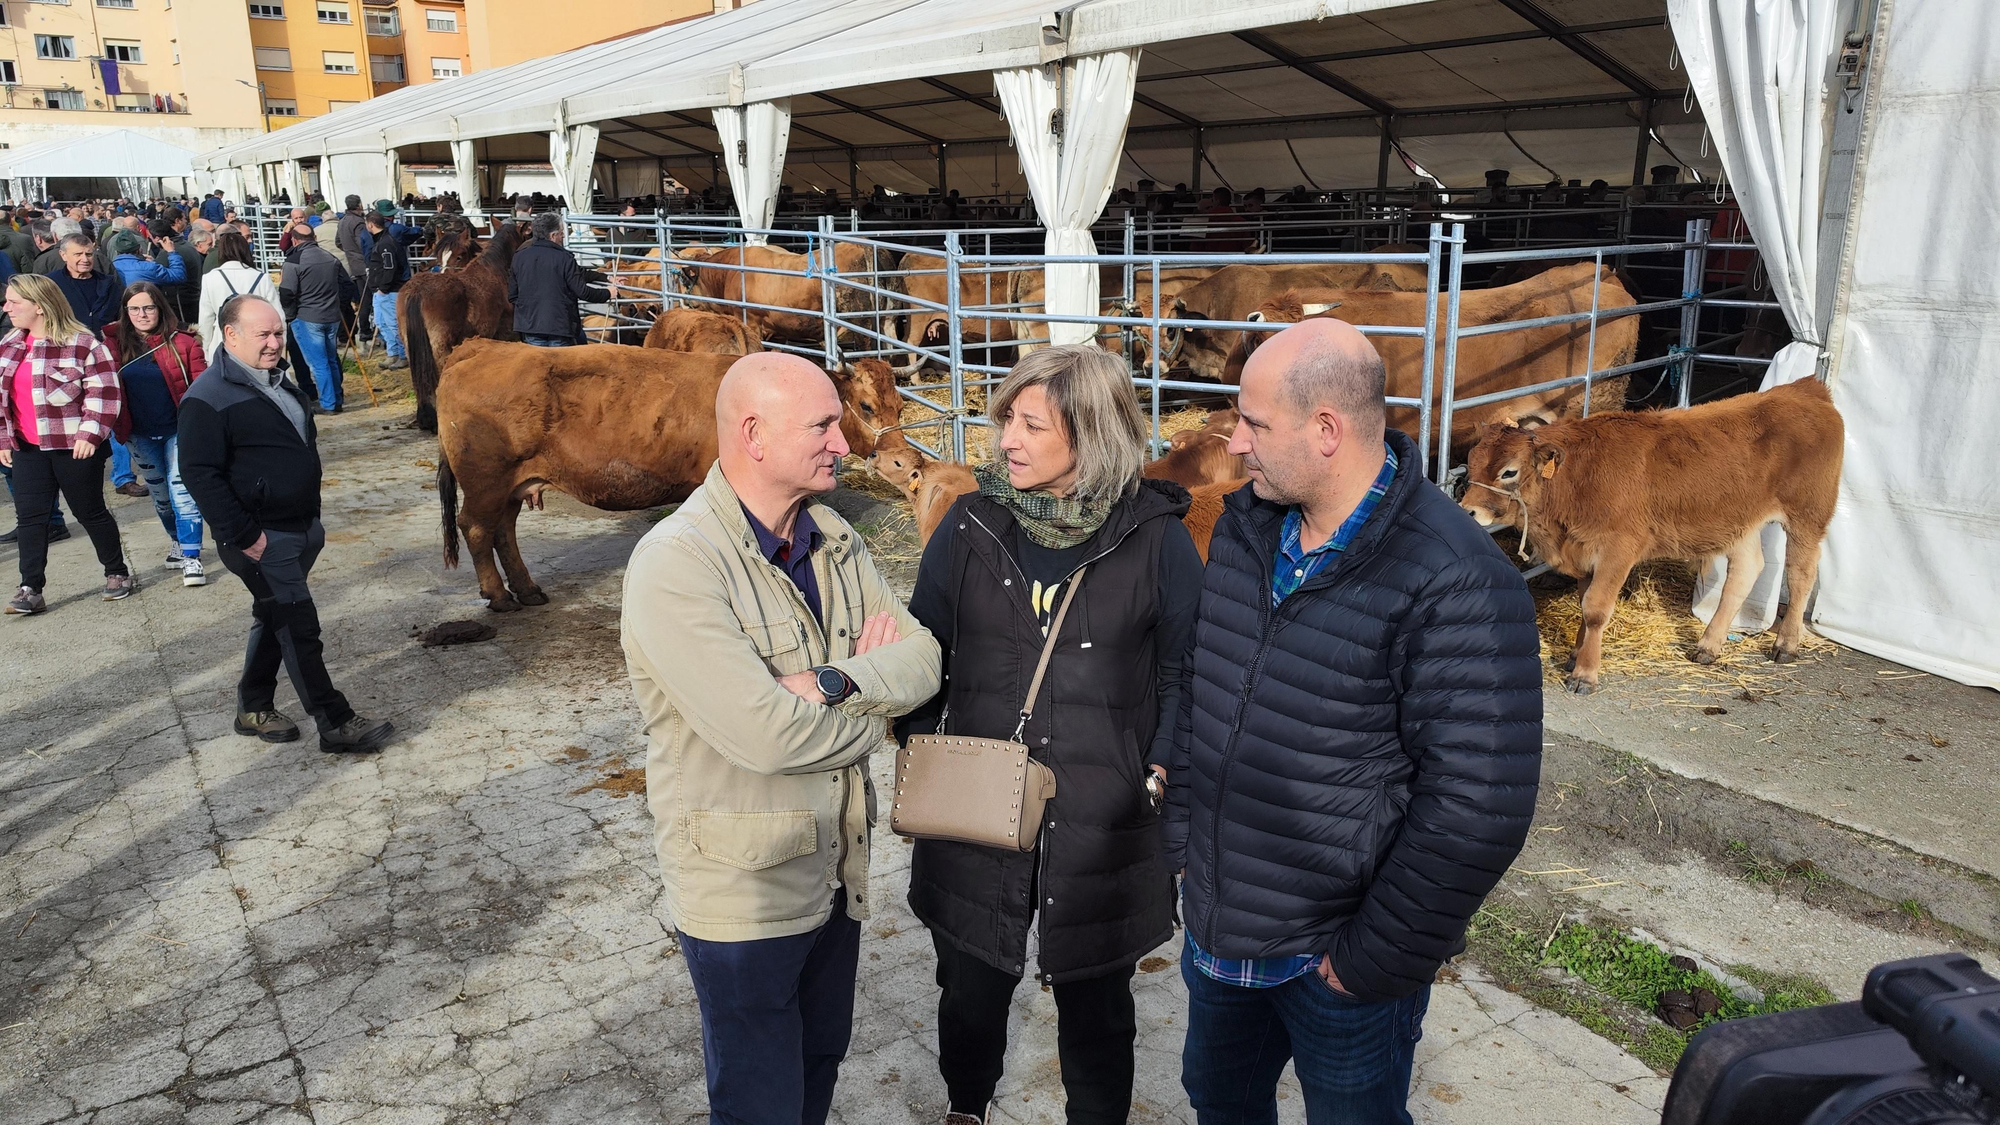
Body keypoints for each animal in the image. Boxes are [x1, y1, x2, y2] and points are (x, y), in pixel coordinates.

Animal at [446, 342, 908, 608]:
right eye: (865, 406)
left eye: (901, 407)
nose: (900, 460)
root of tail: (480, 349)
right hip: (486, 483)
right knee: (476, 528)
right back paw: (498, 595)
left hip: (510, 486)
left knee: (503, 531)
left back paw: (526, 590)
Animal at [1456, 378, 1840, 692]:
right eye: (1471, 463)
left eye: (1509, 472)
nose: (1468, 511)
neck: (1578, 477)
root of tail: (1804, 390)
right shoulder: (1585, 551)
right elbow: (1583, 604)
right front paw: (1575, 655)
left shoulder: (1618, 549)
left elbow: (1595, 609)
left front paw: (1585, 674)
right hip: (1739, 522)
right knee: (1746, 570)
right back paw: (1708, 646)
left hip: (1808, 515)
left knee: (1801, 574)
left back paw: (1786, 645)